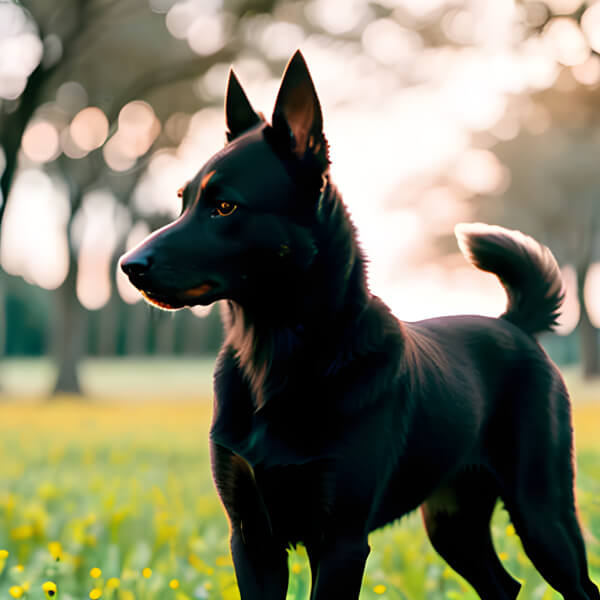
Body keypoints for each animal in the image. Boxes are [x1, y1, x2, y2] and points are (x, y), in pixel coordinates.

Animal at [122, 51, 600, 600]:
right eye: (183, 201)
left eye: (224, 206)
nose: (127, 266)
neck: (275, 354)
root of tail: (514, 324)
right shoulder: (251, 539)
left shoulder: (340, 542)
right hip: (452, 522)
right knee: (505, 585)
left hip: (542, 513)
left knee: (579, 584)